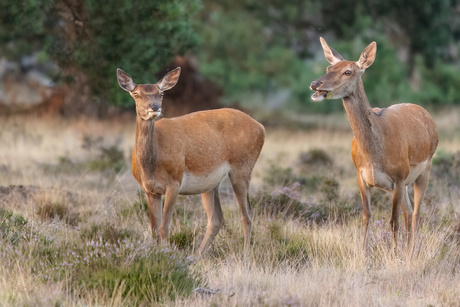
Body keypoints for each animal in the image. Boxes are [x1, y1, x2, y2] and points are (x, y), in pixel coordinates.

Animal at [117, 67, 264, 255]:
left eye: (161, 93)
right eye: (136, 94)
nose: (155, 107)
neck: (151, 165)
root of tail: (261, 127)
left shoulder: (174, 182)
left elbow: (164, 228)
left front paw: (165, 255)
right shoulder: (150, 190)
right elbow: (154, 230)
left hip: (242, 168)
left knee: (247, 214)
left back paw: (245, 254)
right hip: (210, 184)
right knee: (217, 218)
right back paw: (198, 255)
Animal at [310, 38, 438, 258]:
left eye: (348, 71)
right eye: (328, 67)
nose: (315, 84)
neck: (375, 154)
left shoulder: (398, 177)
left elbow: (393, 220)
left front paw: (394, 257)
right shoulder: (361, 176)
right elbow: (366, 216)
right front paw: (363, 255)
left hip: (424, 168)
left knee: (415, 213)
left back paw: (411, 252)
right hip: (407, 181)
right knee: (408, 211)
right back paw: (408, 249)